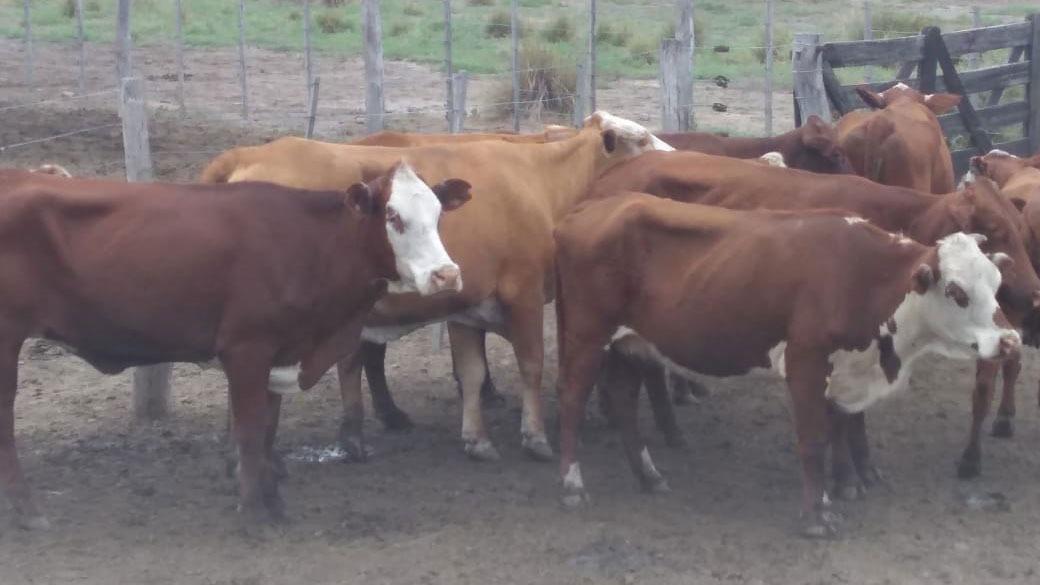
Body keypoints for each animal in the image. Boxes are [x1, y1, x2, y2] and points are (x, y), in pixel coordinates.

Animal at [0, 162, 469, 528]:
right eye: (393, 216)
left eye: (438, 214)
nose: (446, 274)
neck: (307, 246)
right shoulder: (247, 349)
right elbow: (248, 431)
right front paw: (253, 510)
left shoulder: (280, 354)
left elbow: (267, 431)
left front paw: (272, 500)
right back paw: (28, 511)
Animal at [200, 111, 662, 461]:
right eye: (640, 139)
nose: (676, 154)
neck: (539, 182)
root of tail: (249, 152)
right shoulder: (525, 293)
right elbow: (531, 364)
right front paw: (535, 438)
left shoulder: (467, 304)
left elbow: (473, 372)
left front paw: (478, 438)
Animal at [553, 191, 1020, 537]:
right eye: (957, 292)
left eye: (997, 284)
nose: (1010, 340)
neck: (863, 276)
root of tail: (586, 210)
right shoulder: (805, 362)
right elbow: (812, 441)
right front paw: (816, 516)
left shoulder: (844, 369)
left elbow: (836, 430)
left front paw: (840, 488)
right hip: (586, 337)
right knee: (572, 401)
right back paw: (572, 485)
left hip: (630, 345)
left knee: (623, 402)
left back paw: (648, 476)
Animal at [588, 150, 1040, 482]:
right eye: (997, 231)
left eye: (1022, 229)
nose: (1033, 292)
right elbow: (837, 417)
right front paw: (845, 475)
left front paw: (862, 471)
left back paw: (669, 426)